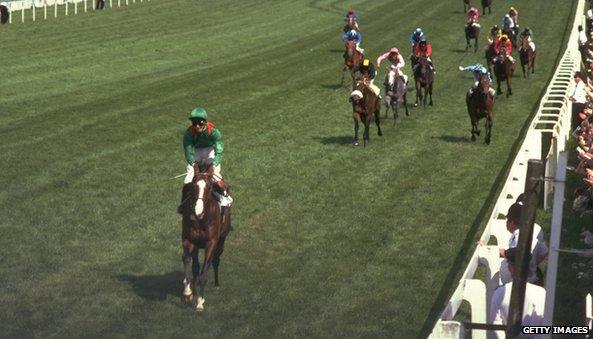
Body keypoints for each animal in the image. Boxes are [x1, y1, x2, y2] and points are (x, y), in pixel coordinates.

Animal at [177, 163, 230, 314]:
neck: (201, 220)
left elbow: (205, 270)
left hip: (222, 239)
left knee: (216, 261)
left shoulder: (211, 243)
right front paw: (188, 292)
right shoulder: (188, 239)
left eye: (209, 187)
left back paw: (216, 283)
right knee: (195, 266)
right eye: (193, 186)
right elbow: (186, 259)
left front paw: (200, 302)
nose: (198, 212)